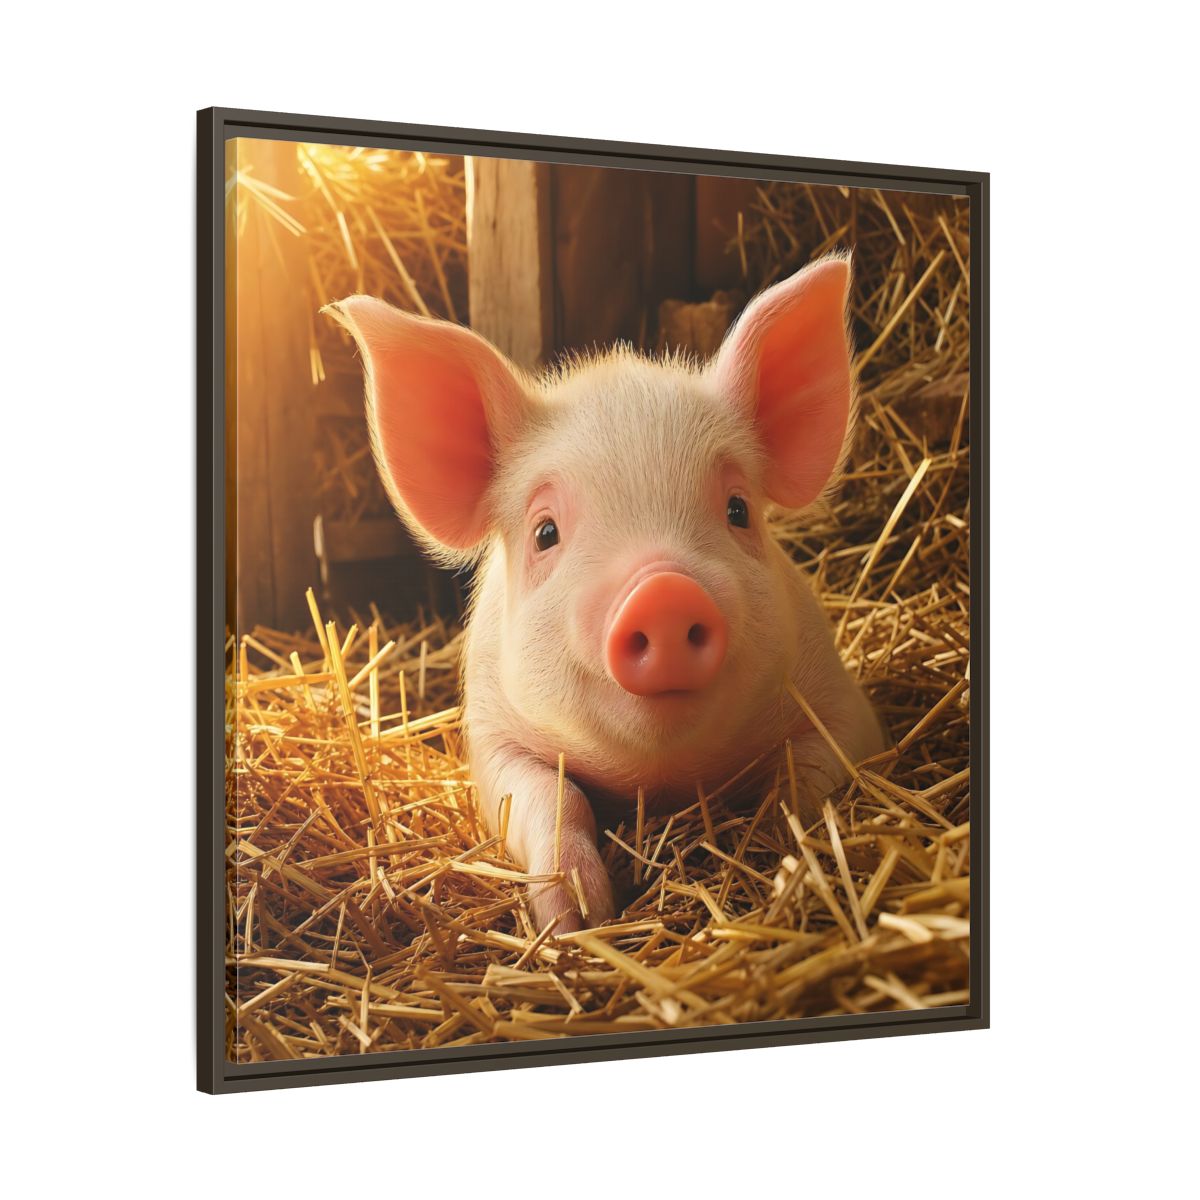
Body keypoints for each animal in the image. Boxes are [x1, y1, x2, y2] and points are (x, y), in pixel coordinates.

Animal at [327, 253, 884, 934]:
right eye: (545, 532)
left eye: (738, 509)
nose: (663, 592)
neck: (661, 779)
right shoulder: (490, 735)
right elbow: (551, 797)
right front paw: (578, 921)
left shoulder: (841, 703)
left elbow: (805, 777)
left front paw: (782, 855)